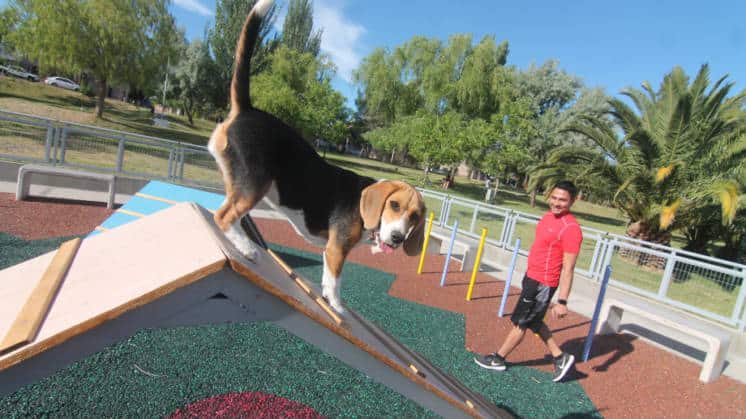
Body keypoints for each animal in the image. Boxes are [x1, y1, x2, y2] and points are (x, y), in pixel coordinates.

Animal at [206, 0, 424, 316]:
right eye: (394, 205)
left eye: (416, 217)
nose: (397, 239)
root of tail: (246, 109)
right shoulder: (336, 250)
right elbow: (334, 281)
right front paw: (337, 307)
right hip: (254, 185)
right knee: (222, 216)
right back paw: (246, 249)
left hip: (239, 185)